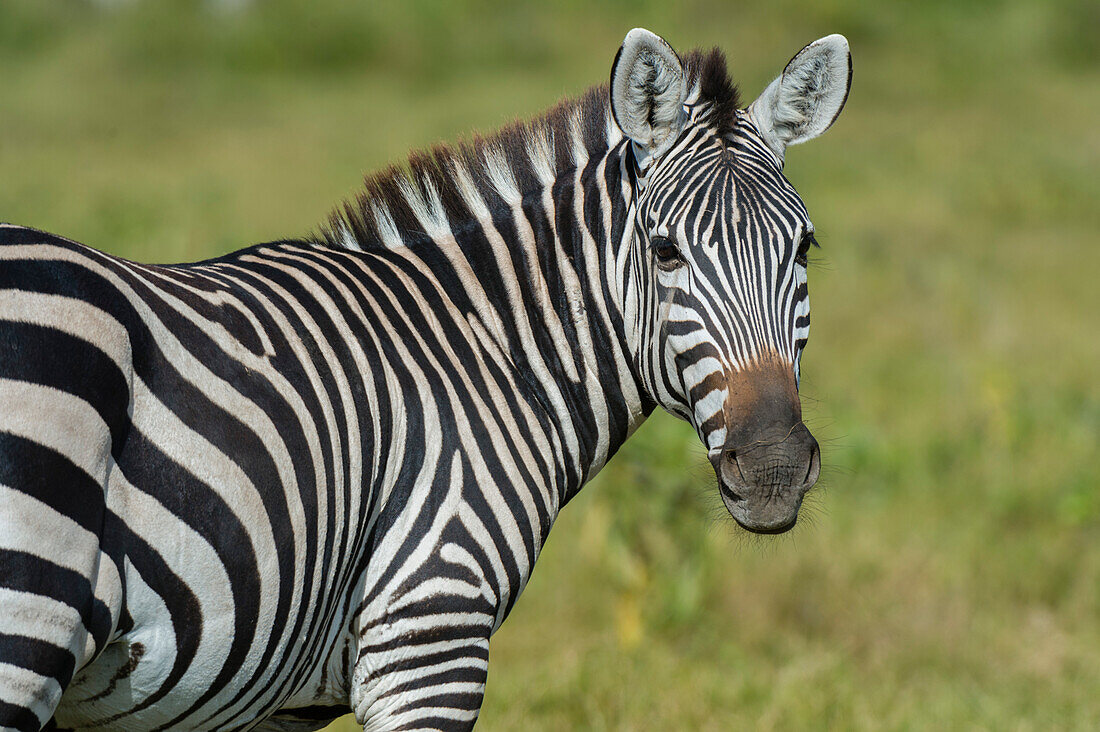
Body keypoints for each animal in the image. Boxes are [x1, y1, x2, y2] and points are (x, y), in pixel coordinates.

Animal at [0, 27, 849, 726]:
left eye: (804, 248)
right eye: (666, 251)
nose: (773, 470)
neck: (484, 347)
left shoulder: (283, 700)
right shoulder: (430, 634)